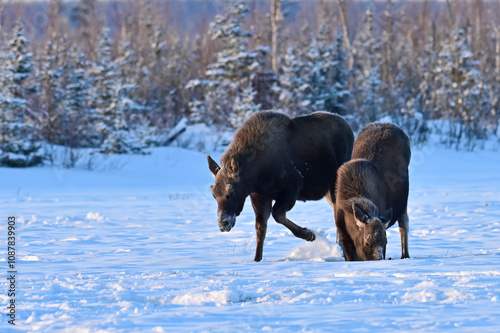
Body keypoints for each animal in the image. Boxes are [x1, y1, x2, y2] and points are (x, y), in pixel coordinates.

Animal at [206, 110, 352, 260]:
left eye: (231, 193)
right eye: (214, 194)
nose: (222, 224)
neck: (257, 174)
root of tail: (348, 127)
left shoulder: (292, 187)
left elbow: (277, 215)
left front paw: (309, 234)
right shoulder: (260, 196)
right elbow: (260, 228)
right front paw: (257, 259)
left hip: (335, 184)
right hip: (327, 191)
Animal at [336, 122, 410, 260]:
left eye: (385, 242)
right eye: (367, 242)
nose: (378, 260)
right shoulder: (344, 236)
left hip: (403, 204)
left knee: (404, 226)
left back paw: (405, 255)